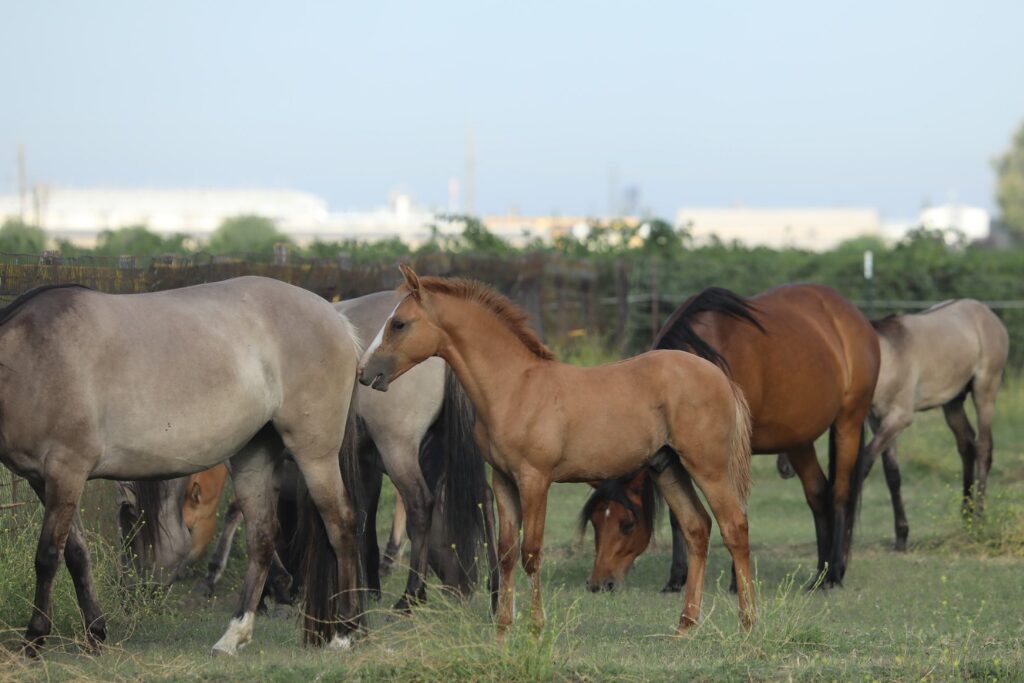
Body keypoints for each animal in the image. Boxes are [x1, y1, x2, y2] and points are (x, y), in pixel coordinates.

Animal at [0, 277, 363, 656]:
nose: (134, 595)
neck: (35, 357)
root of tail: (337, 320)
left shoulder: (66, 470)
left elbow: (48, 556)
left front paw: (34, 640)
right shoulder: (43, 480)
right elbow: (76, 554)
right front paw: (95, 634)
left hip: (315, 454)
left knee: (341, 525)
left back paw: (344, 632)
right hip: (254, 457)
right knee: (262, 537)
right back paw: (232, 637)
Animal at [117, 290, 496, 612]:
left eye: (131, 529)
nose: (133, 589)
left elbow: (245, 514)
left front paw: (267, 586)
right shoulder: (351, 462)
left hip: (397, 446)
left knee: (420, 504)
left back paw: (409, 597)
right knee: (484, 499)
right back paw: (492, 586)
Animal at [359, 265, 755, 638]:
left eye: (399, 323)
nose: (365, 373)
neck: (514, 387)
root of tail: (721, 377)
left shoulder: (535, 480)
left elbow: (531, 552)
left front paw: (535, 627)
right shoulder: (503, 480)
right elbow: (506, 553)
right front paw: (503, 628)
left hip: (709, 467)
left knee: (734, 527)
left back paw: (748, 624)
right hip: (667, 467)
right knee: (697, 528)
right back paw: (685, 625)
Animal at [581, 285, 880, 593]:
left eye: (627, 523)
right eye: (594, 521)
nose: (599, 584)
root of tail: (852, 314)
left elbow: (737, 510)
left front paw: (737, 582)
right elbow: (680, 516)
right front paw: (677, 578)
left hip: (848, 422)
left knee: (840, 493)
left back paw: (834, 575)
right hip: (799, 439)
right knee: (818, 494)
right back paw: (820, 573)